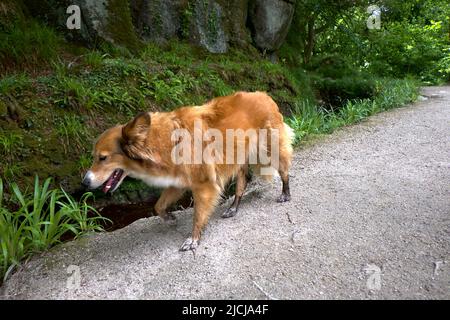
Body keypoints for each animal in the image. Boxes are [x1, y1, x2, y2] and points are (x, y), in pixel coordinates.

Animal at [83, 91, 296, 251]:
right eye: (94, 157)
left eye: (103, 158)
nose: (84, 182)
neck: (163, 142)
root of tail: (264, 95)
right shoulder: (177, 182)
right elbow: (158, 206)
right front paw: (169, 218)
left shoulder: (204, 186)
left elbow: (198, 216)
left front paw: (194, 239)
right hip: (240, 157)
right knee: (242, 184)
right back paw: (233, 208)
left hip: (272, 150)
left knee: (284, 171)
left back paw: (285, 194)